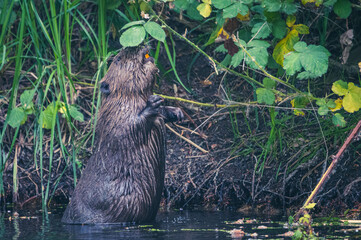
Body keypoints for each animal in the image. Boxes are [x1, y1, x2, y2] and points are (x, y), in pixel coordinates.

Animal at [61, 46, 183, 223]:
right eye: (118, 59)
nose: (135, 46)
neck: (126, 99)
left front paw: (176, 112)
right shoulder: (116, 117)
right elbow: (128, 128)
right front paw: (153, 103)